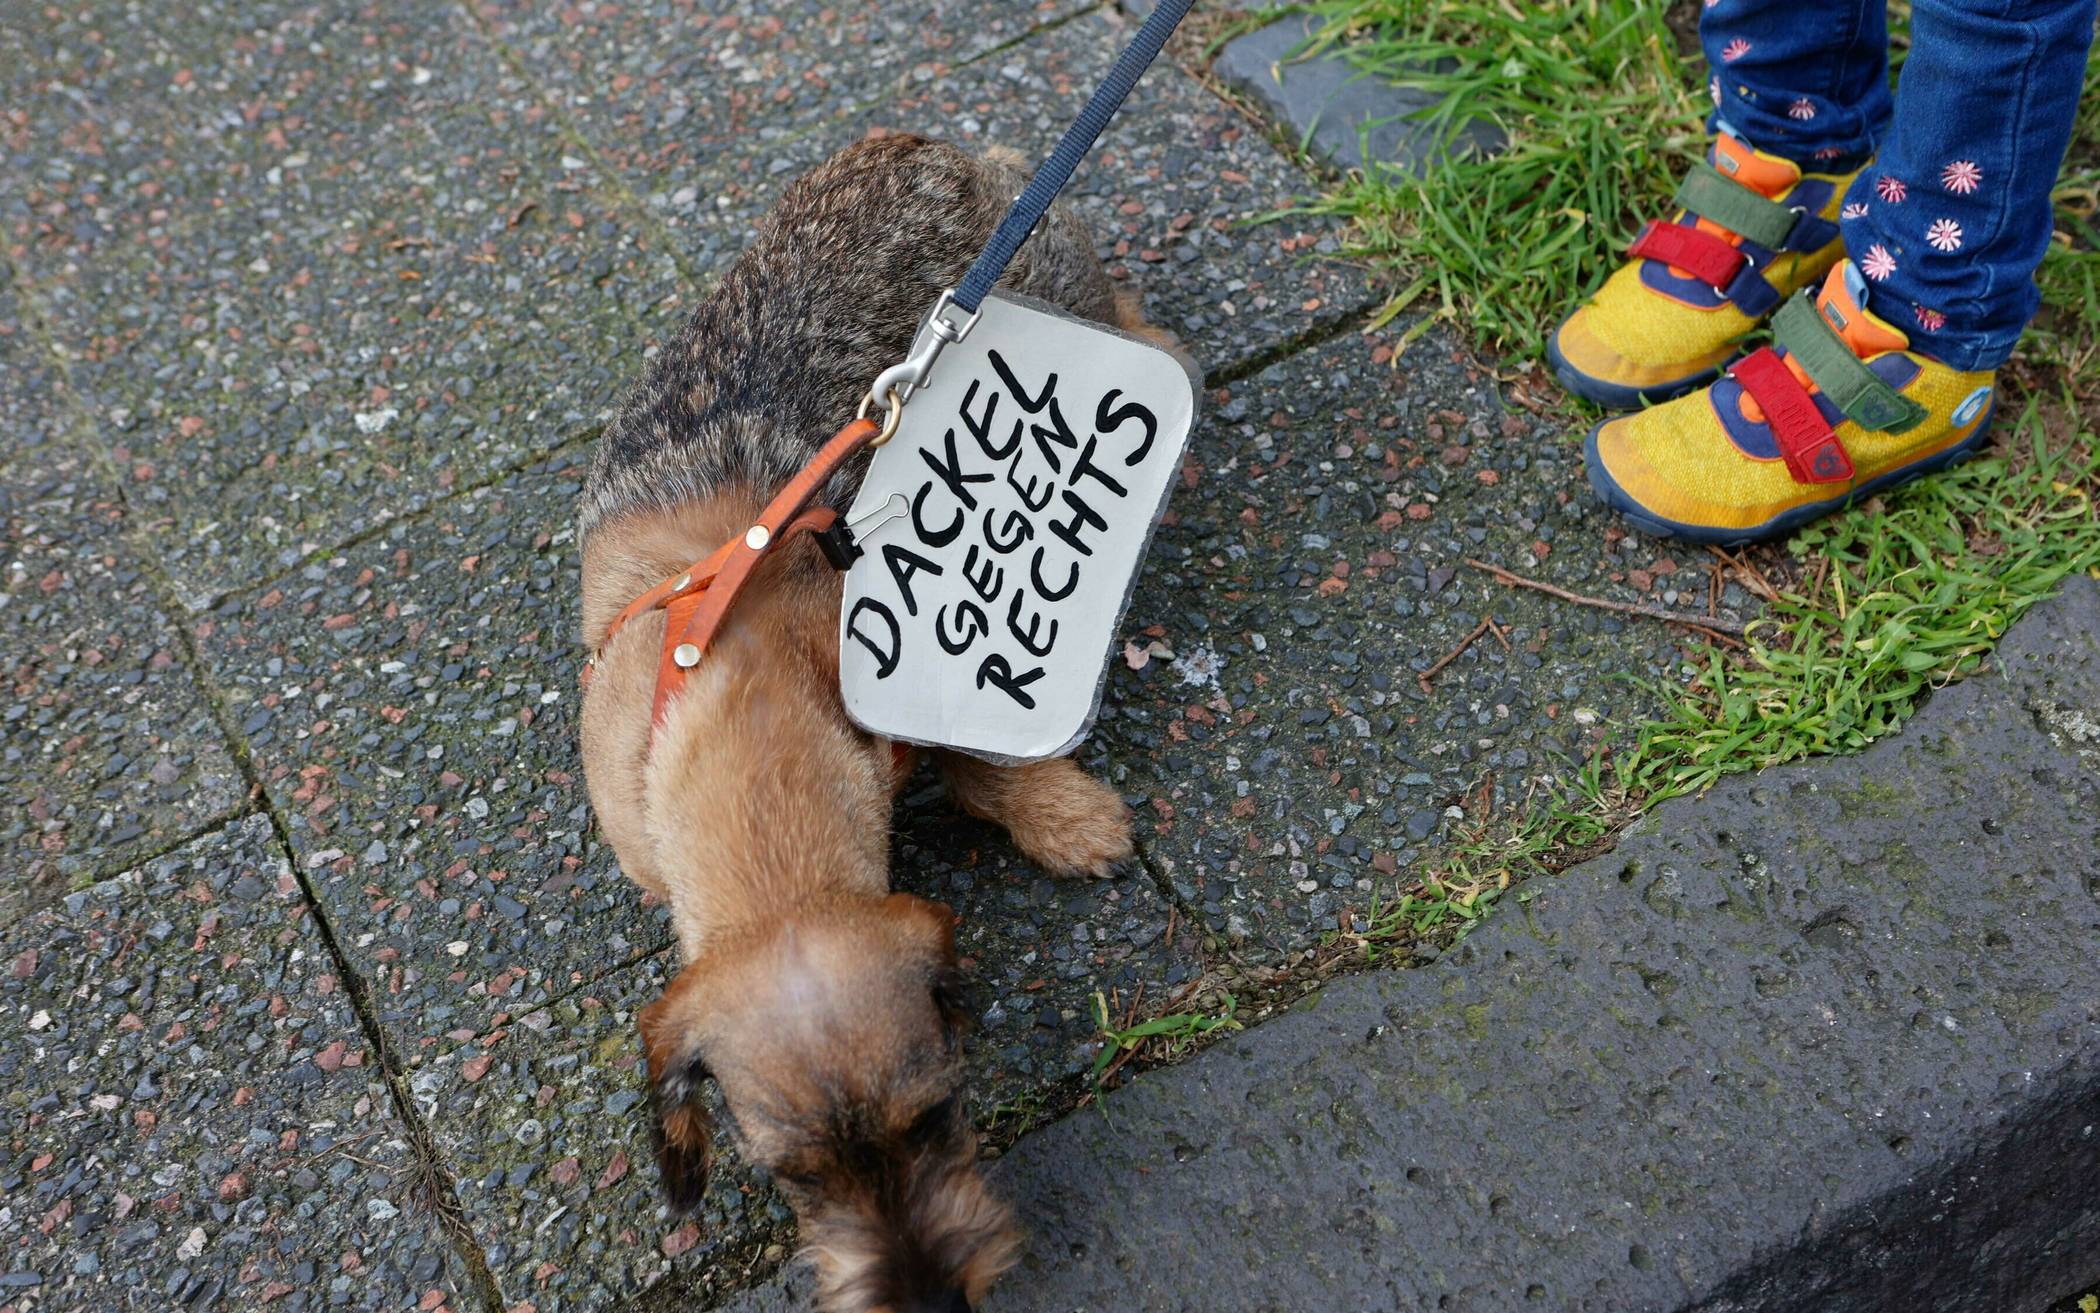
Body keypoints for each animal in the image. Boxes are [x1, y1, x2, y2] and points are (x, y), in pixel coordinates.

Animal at [576, 134, 1171, 1313]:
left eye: (937, 1115)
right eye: (793, 1175)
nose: (933, 1297)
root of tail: (928, 149)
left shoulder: (903, 669)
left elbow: (976, 752)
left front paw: (1063, 814)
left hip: (1065, 293)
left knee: (1136, 319)